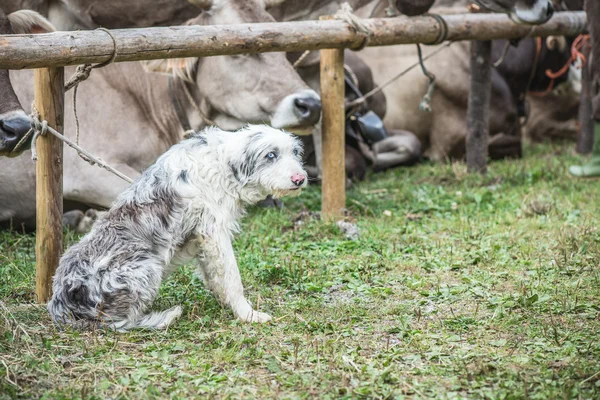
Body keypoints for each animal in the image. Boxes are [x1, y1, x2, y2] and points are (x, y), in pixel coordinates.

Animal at [48, 126, 308, 332]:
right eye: (271, 155)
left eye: (295, 153)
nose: (300, 179)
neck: (223, 164)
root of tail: (61, 305)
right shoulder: (214, 232)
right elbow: (233, 278)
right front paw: (248, 315)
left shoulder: (203, 238)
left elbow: (216, 276)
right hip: (146, 267)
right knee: (117, 323)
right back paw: (164, 318)